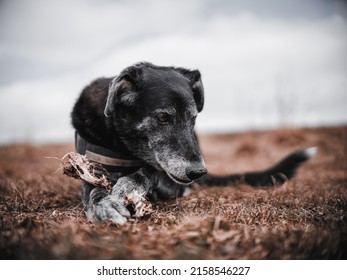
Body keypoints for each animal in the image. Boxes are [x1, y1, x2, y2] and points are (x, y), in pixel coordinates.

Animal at [70, 62, 316, 224]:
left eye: (194, 118)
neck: (123, 146)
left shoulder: (165, 175)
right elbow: (94, 191)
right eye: (162, 117)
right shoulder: (89, 169)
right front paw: (104, 206)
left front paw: (126, 188)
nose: (199, 172)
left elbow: (146, 173)